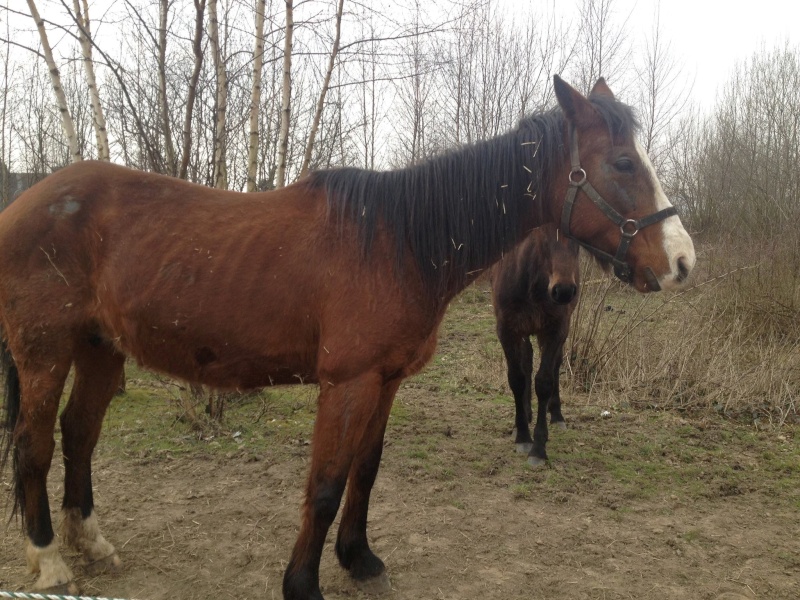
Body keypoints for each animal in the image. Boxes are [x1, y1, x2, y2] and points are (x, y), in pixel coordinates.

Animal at [490, 223, 580, 466]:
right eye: (542, 235)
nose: (564, 290)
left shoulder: (556, 329)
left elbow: (545, 381)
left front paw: (538, 447)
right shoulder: (508, 330)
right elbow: (517, 378)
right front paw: (522, 434)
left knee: (554, 365)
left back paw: (556, 415)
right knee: (527, 361)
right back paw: (526, 414)